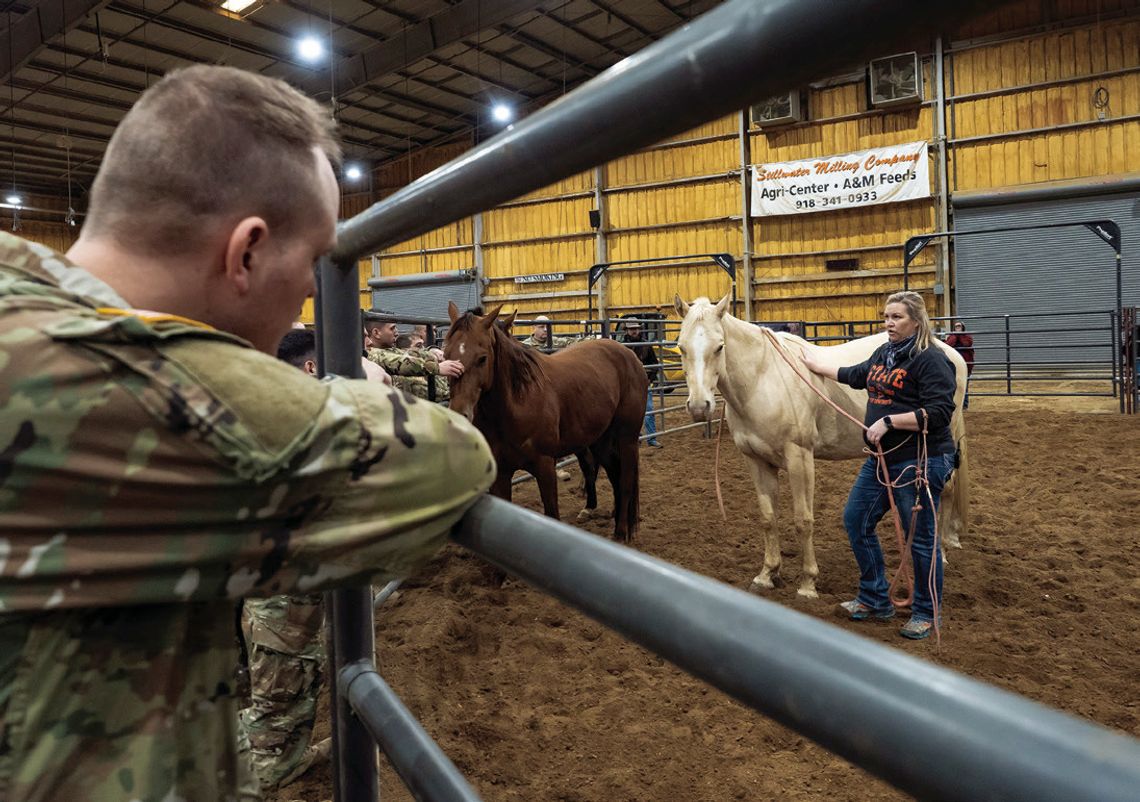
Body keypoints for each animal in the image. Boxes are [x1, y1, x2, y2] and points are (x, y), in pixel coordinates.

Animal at [444, 303, 652, 542]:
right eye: (446, 356)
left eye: (482, 358)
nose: (460, 414)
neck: (517, 403)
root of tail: (629, 354)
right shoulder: (501, 474)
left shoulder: (545, 467)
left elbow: (552, 514)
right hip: (600, 441)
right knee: (614, 477)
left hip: (627, 439)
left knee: (625, 481)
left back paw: (621, 533)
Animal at [674, 293, 971, 596]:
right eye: (681, 347)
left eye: (719, 347)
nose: (699, 407)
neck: (762, 380)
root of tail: (949, 352)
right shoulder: (756, 460)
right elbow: (768, 518)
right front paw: (767, 574)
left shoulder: (800, 458)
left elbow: (803, 520)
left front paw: (807, 583)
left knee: (946, 490)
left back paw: (942, 552)